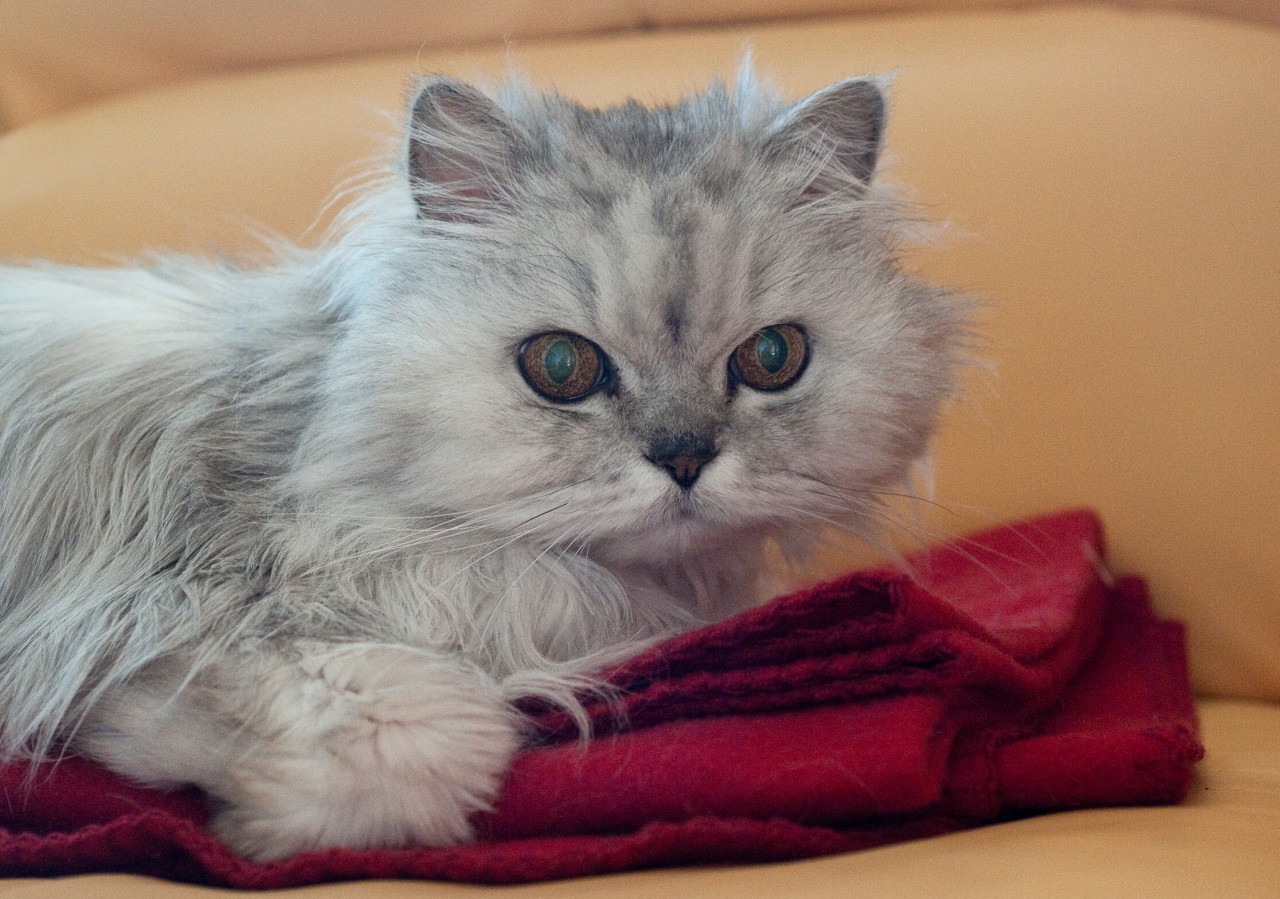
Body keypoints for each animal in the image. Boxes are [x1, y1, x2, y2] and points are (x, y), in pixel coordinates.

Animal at [0, 66, 962, 860]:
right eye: (561, 367)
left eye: (771, 358)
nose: (684, 458)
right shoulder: (145, 612)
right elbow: (412, 740)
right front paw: (253, 825)